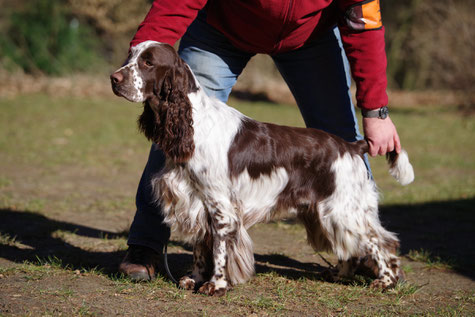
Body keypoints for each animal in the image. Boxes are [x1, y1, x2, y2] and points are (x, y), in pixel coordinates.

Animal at [110, 40, 412, 296]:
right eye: (130, 56)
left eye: (148, 62)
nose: (114, 79)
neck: (193, 125)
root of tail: (351, 146)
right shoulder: (197, 202)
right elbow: (200, 248)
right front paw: (193, 279)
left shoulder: (221, 206)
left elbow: (219, 250)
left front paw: (215, 285)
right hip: (324, 212)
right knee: (349, 245)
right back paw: (340, 274)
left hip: (343, 209)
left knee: (381, 241)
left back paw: (385, 281)